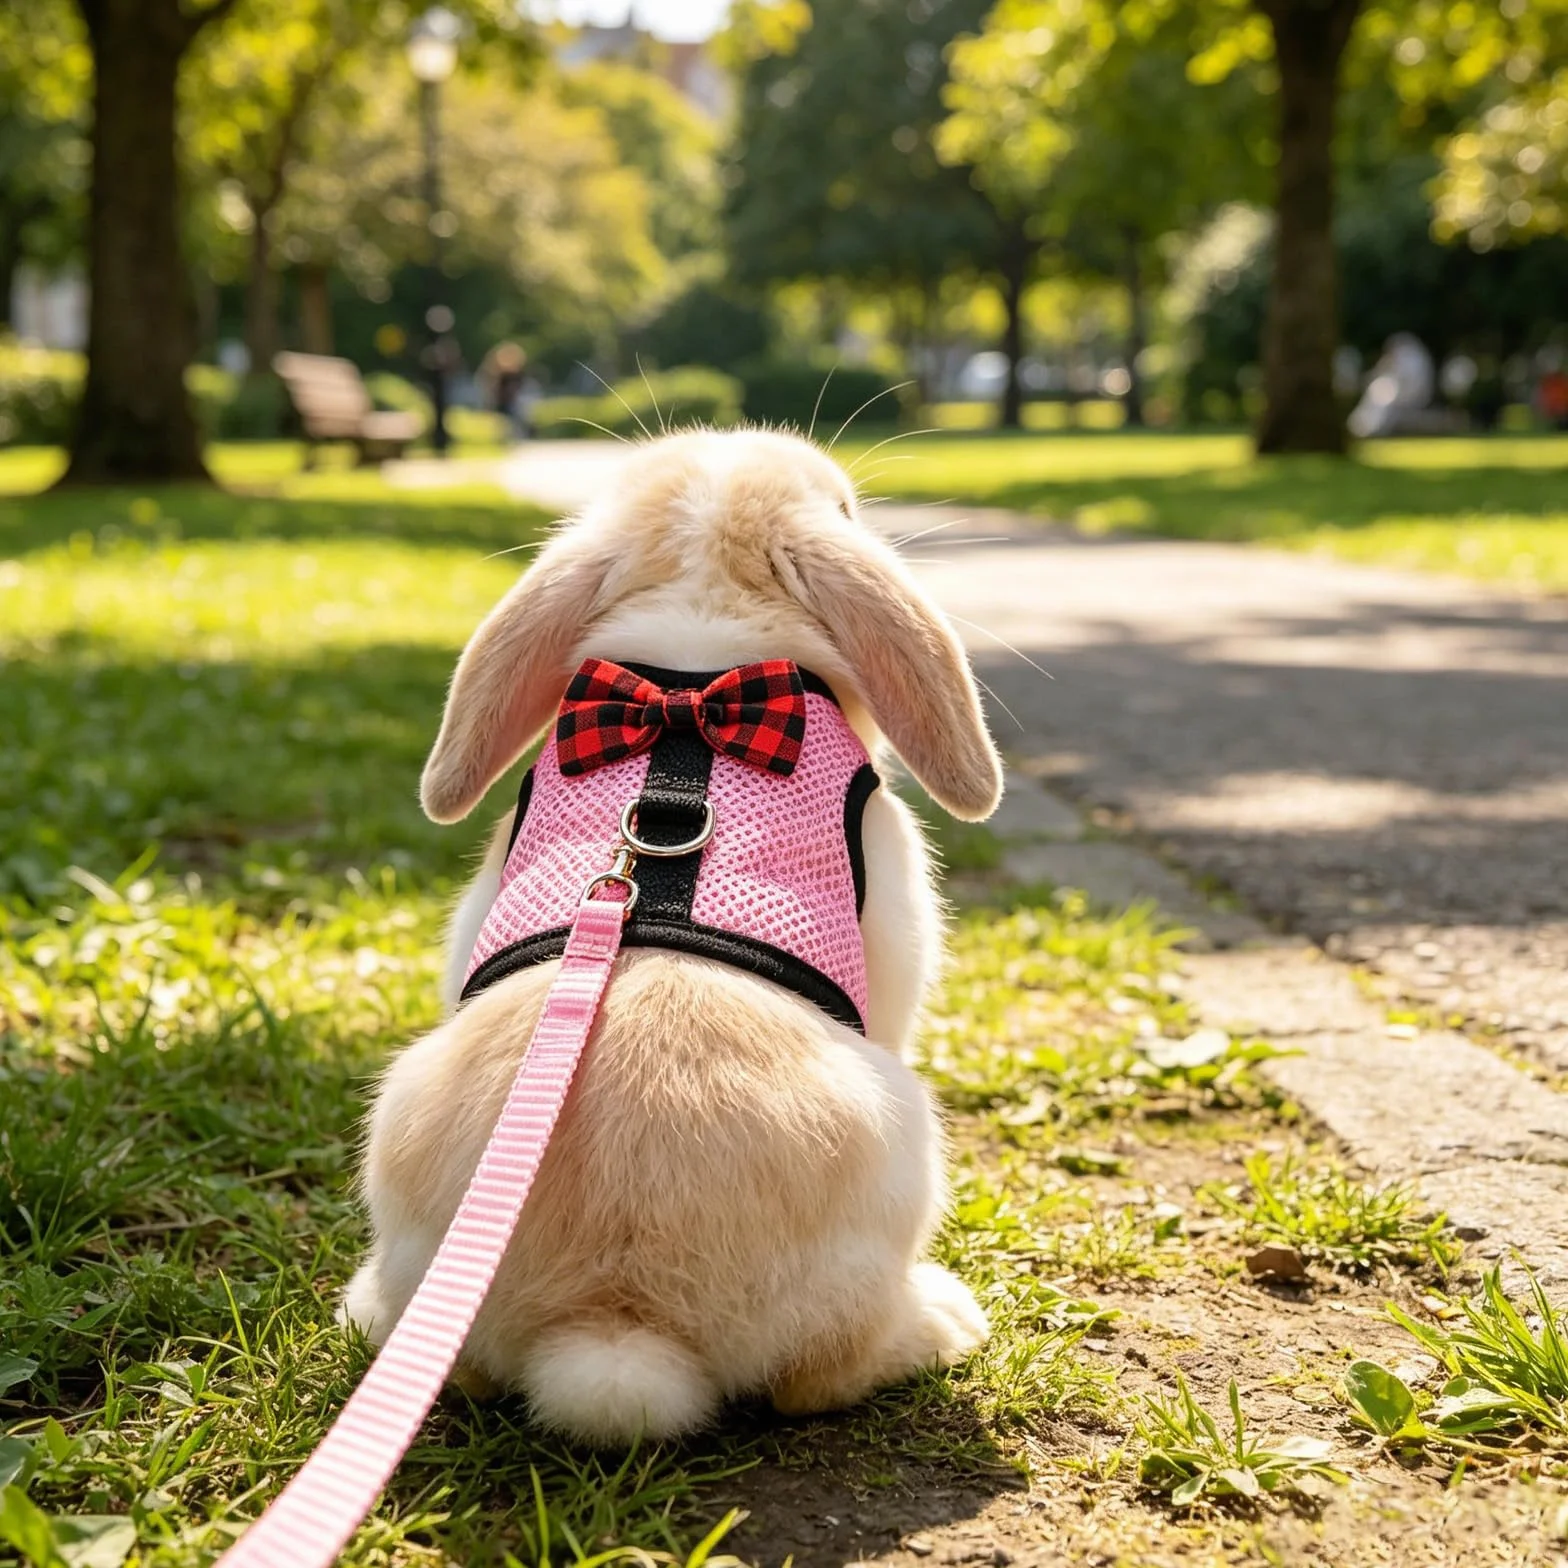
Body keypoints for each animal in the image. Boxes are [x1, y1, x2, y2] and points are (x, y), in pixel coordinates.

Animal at [342, 427, 1004, 1446]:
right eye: (848, 510)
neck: (693, 685)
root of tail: (616, 1325)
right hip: (904, 1149)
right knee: (821, 1376)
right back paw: (942, 1320)